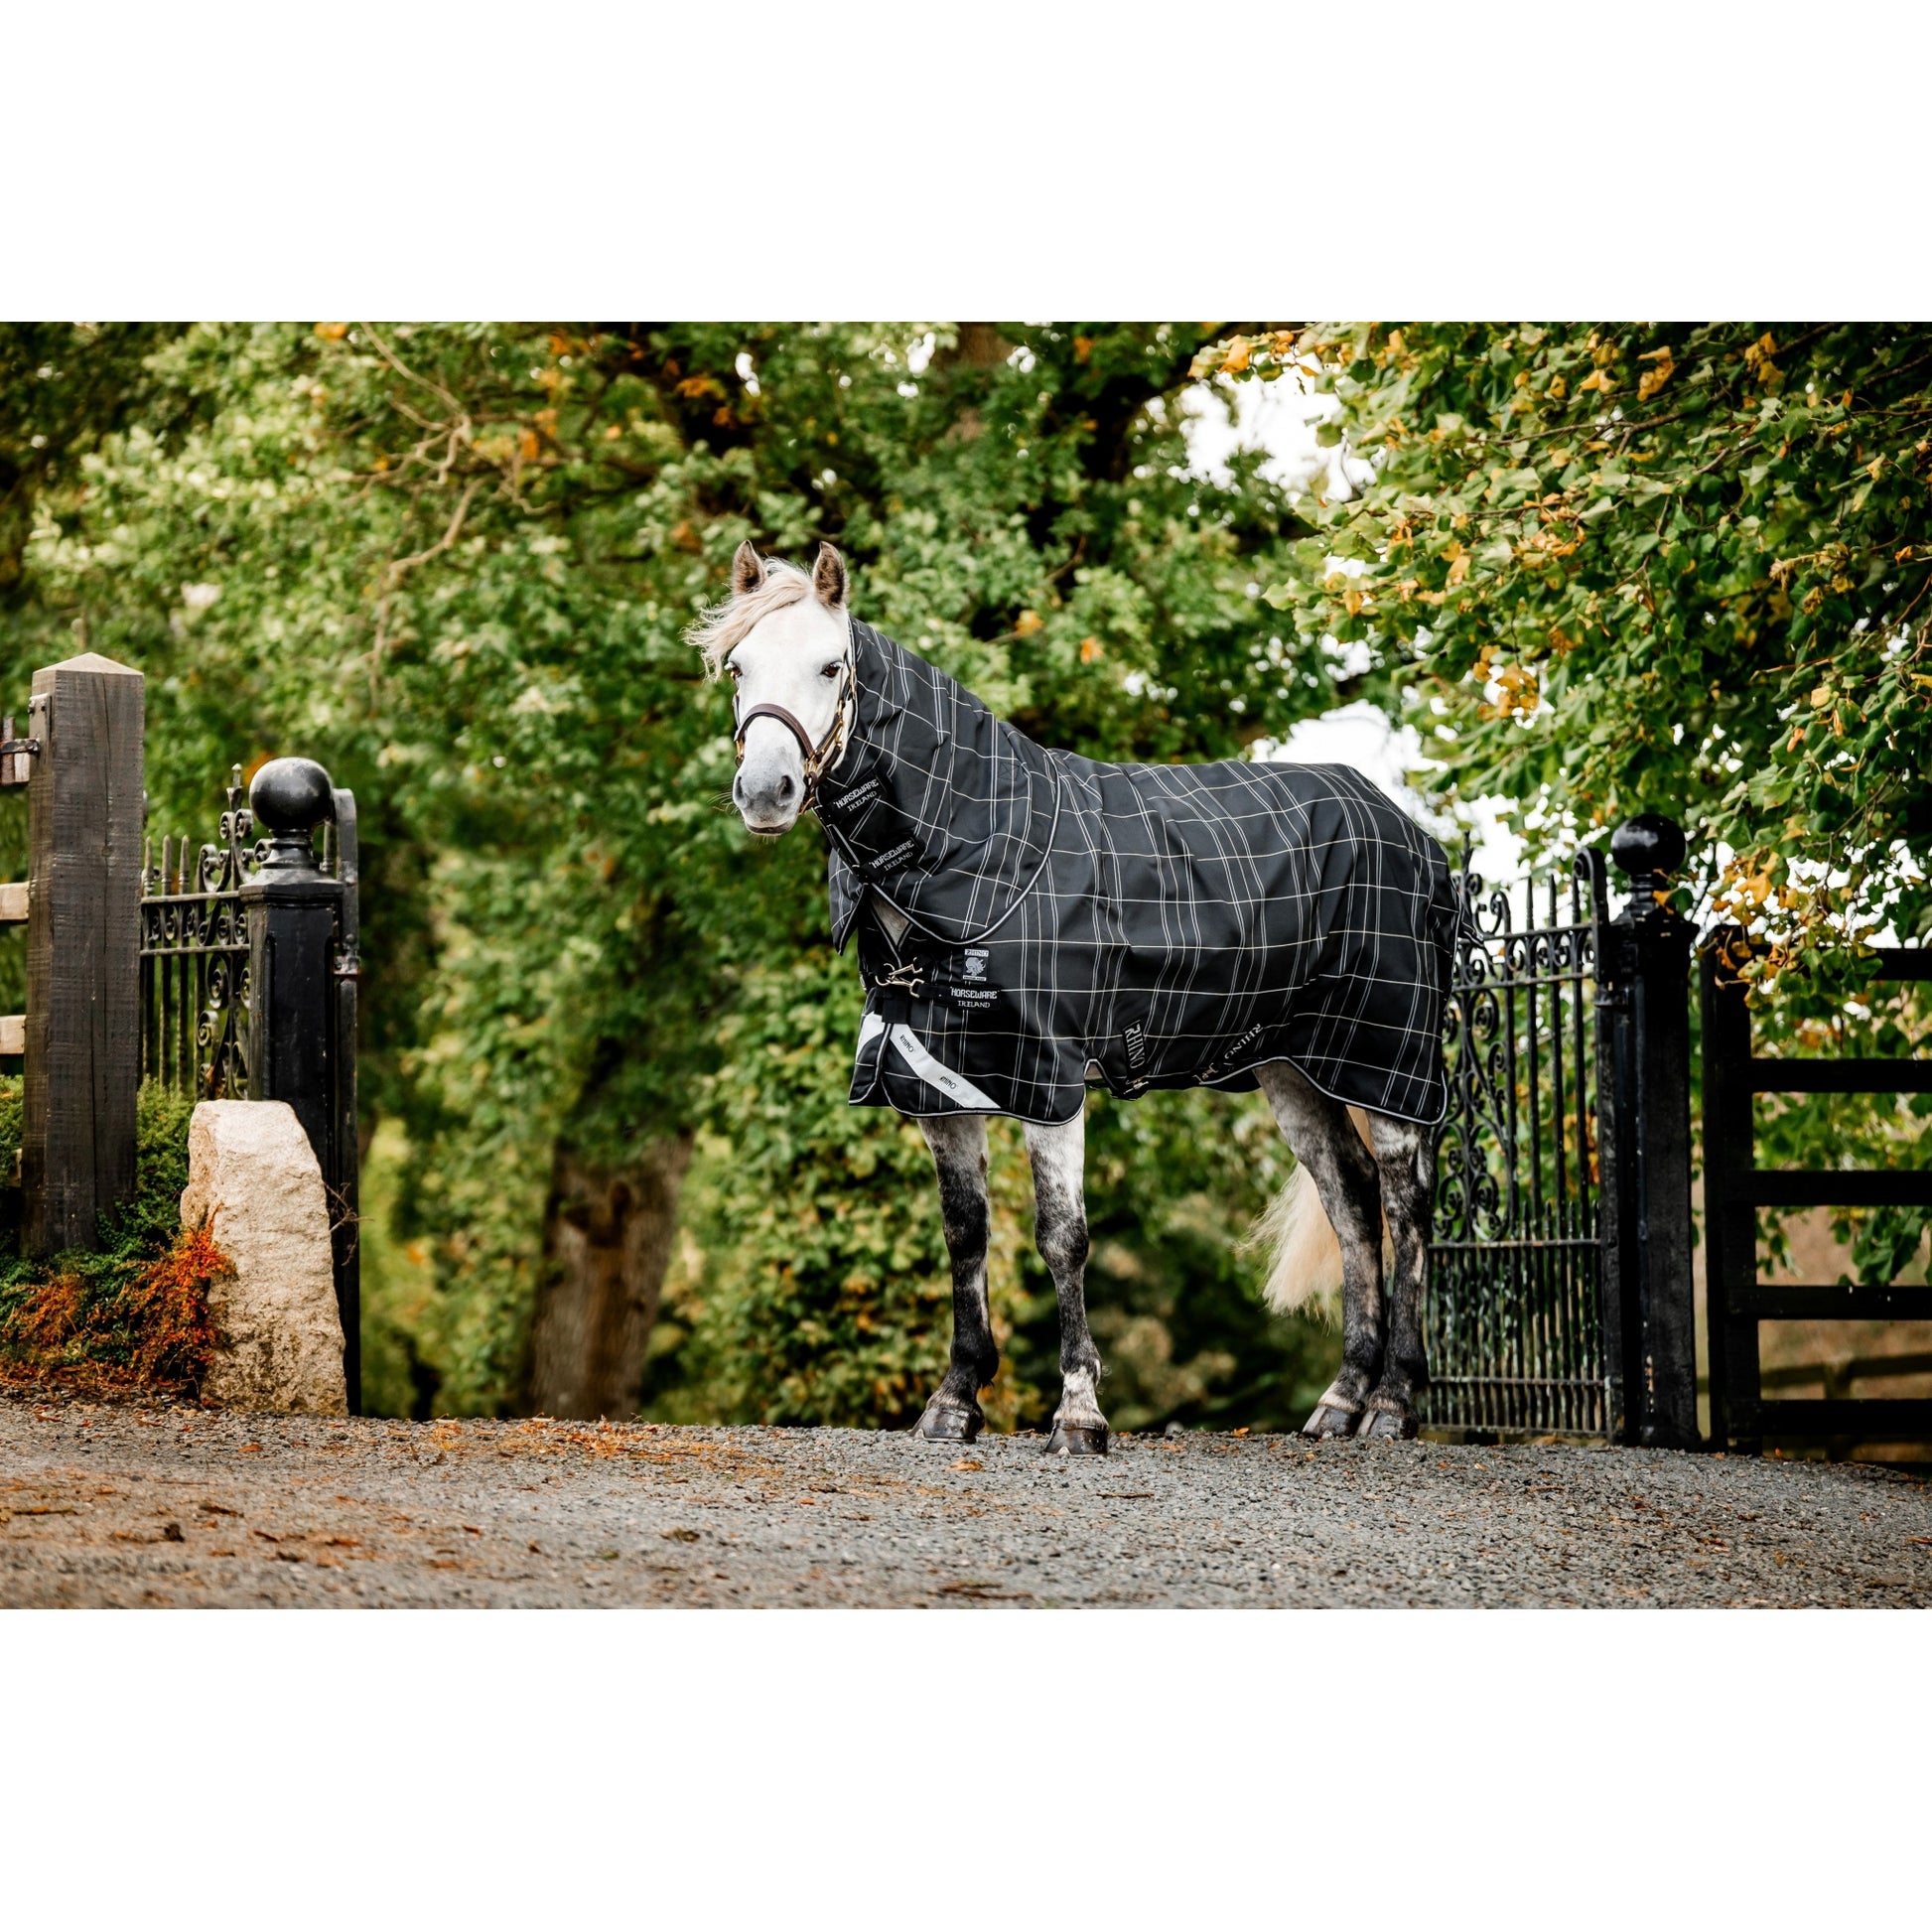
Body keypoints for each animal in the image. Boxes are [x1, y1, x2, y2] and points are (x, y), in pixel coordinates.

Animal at [698, 541, 1454, 1453]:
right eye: (737, 667)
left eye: (830, 665)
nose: (764, 790)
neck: (982, 848)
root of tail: (1412, 835)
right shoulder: (939, 1085)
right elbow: (965, 1237)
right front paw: (954, 1402)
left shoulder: (1049, 1082)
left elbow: (1063, 1238)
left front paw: (1079, 1414)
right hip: (1295, 1069)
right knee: (1351, 1203)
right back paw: (1340, 1401)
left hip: (1387, 1062)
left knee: (1406, 1203)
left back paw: (1393, 1404)